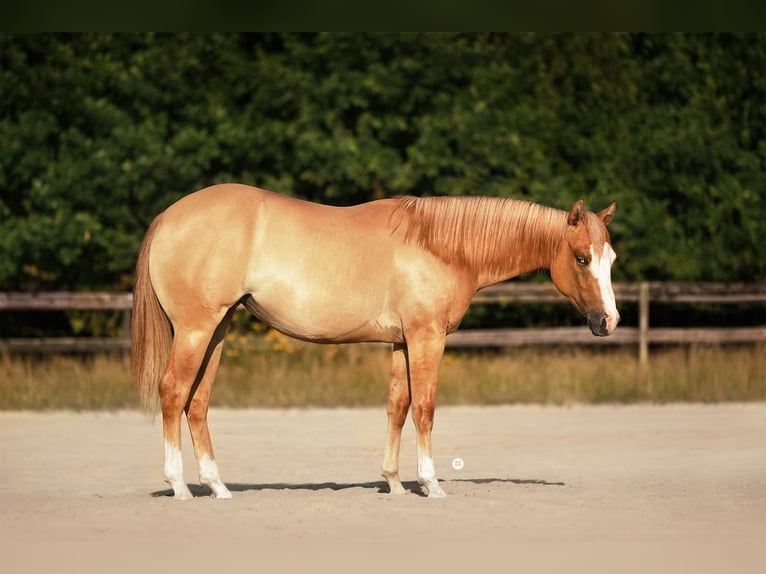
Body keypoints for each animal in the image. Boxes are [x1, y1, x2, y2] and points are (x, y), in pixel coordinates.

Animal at [131, 183, 619, 499]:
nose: (609, 321)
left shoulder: (403, 342)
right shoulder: (426, 338)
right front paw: (431, 484)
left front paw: (395, 482)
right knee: (173, 393)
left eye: (610, 258)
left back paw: (217, 486)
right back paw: (179, 486)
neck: (438, 245)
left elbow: (397, 406)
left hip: (217, 330)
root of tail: (169, 216)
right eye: (582, 258)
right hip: (196, 330)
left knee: (197, 402)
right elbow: (425, 408)